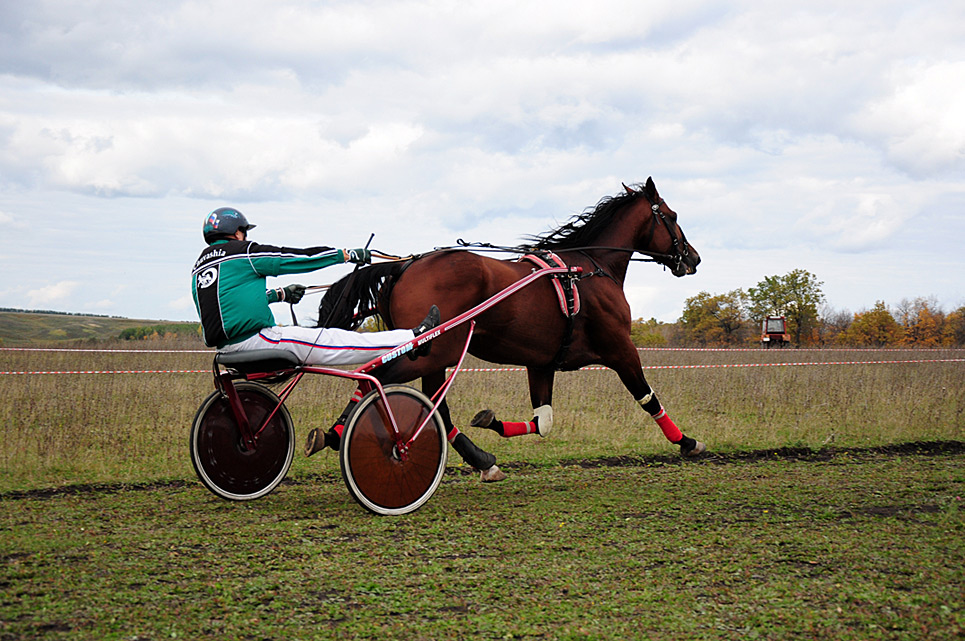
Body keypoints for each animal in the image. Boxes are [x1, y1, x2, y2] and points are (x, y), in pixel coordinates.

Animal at [308, 176, 700, 480]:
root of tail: (406, 266)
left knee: (428, 401)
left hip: (435, 354)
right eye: (672, 216)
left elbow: (542, 421)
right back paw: (346, 434)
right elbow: (648, 398)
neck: (589, 268)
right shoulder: (620, 349)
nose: (692, 258)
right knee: (381, 378)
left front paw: (490, 420)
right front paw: (688, 442)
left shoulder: (542, 363)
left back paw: (478, 459)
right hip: (433, 351)